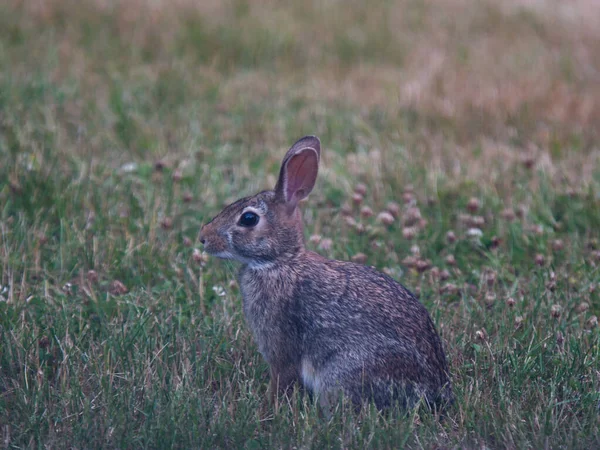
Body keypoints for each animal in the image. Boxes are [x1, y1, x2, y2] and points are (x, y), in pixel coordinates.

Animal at [199, 136, 452, 412]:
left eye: (248, 218)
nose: (203, 238)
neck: (280, 262)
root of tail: (432, 393)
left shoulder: (280, 346)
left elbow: (281, 376)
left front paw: (269, 405)